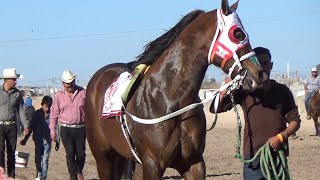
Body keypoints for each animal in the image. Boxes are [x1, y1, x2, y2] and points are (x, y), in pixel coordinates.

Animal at [85, 0, 268, 179]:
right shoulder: (152, 164)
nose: (260, 74)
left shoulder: (193, 162)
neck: (169, 99)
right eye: (238, 34)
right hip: (103, 158)